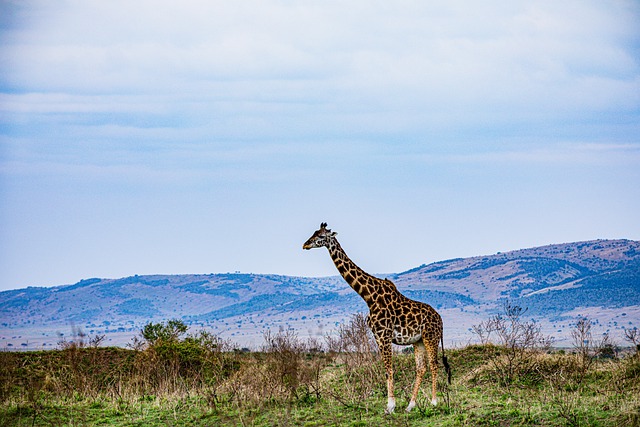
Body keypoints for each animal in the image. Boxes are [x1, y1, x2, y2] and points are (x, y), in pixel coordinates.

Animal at [304, 224, 450, 414]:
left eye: (321, 236)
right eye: (313, 233)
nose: (305, 245)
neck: (369, 296)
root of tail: (441, 320)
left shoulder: (384, 335)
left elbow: (389, 369)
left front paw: (390, 406)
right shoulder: (378, 336)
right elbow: (387, 369)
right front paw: (392, 405)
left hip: (430, 337)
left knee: (434, 364)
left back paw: (433, 402)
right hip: (417, 341)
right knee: (421, 368)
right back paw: (410, 405)